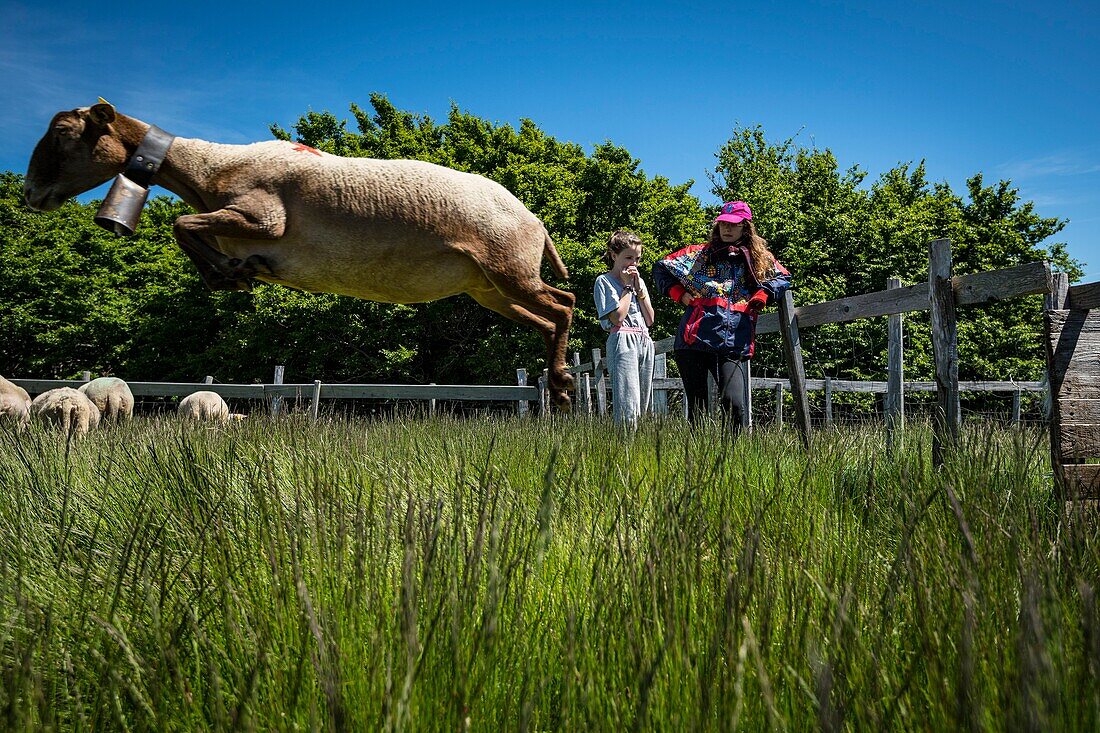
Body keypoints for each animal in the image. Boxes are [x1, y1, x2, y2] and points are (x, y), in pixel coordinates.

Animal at [23, 101, 576, 405]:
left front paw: (230, 273)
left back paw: (563, 384)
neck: (208, 170)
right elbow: (189, 230)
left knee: (565, 303)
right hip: (487, 288)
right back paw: (560, 387)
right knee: (548, 318)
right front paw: (237, 271)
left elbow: (183, 226)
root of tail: (535, 223)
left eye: (64, 133)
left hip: (507, 268)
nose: (30, 194)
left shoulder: (265, 217)